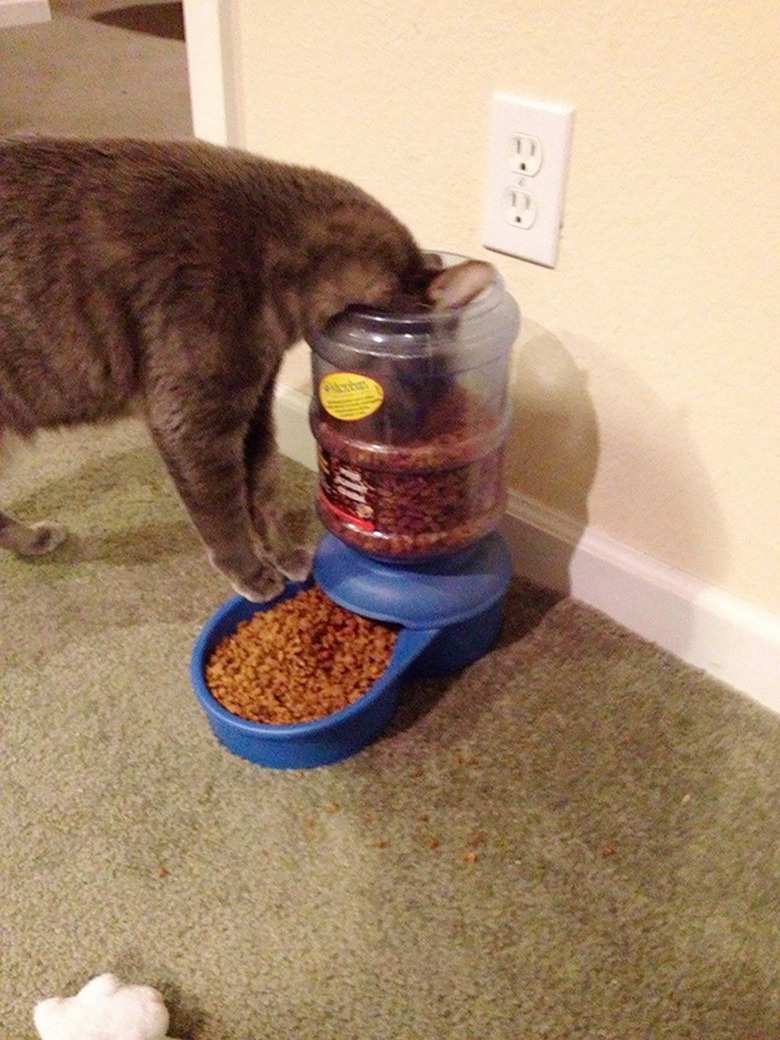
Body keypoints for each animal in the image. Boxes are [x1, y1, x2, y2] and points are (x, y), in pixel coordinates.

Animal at [0, 136, 490, 603]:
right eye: (421, 382)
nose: (416, 431)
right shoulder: (194, 419)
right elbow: (225, 514)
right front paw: (252, 573)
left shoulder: (256, 404)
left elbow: (265, 487)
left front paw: (285, 554)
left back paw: (35, 540)